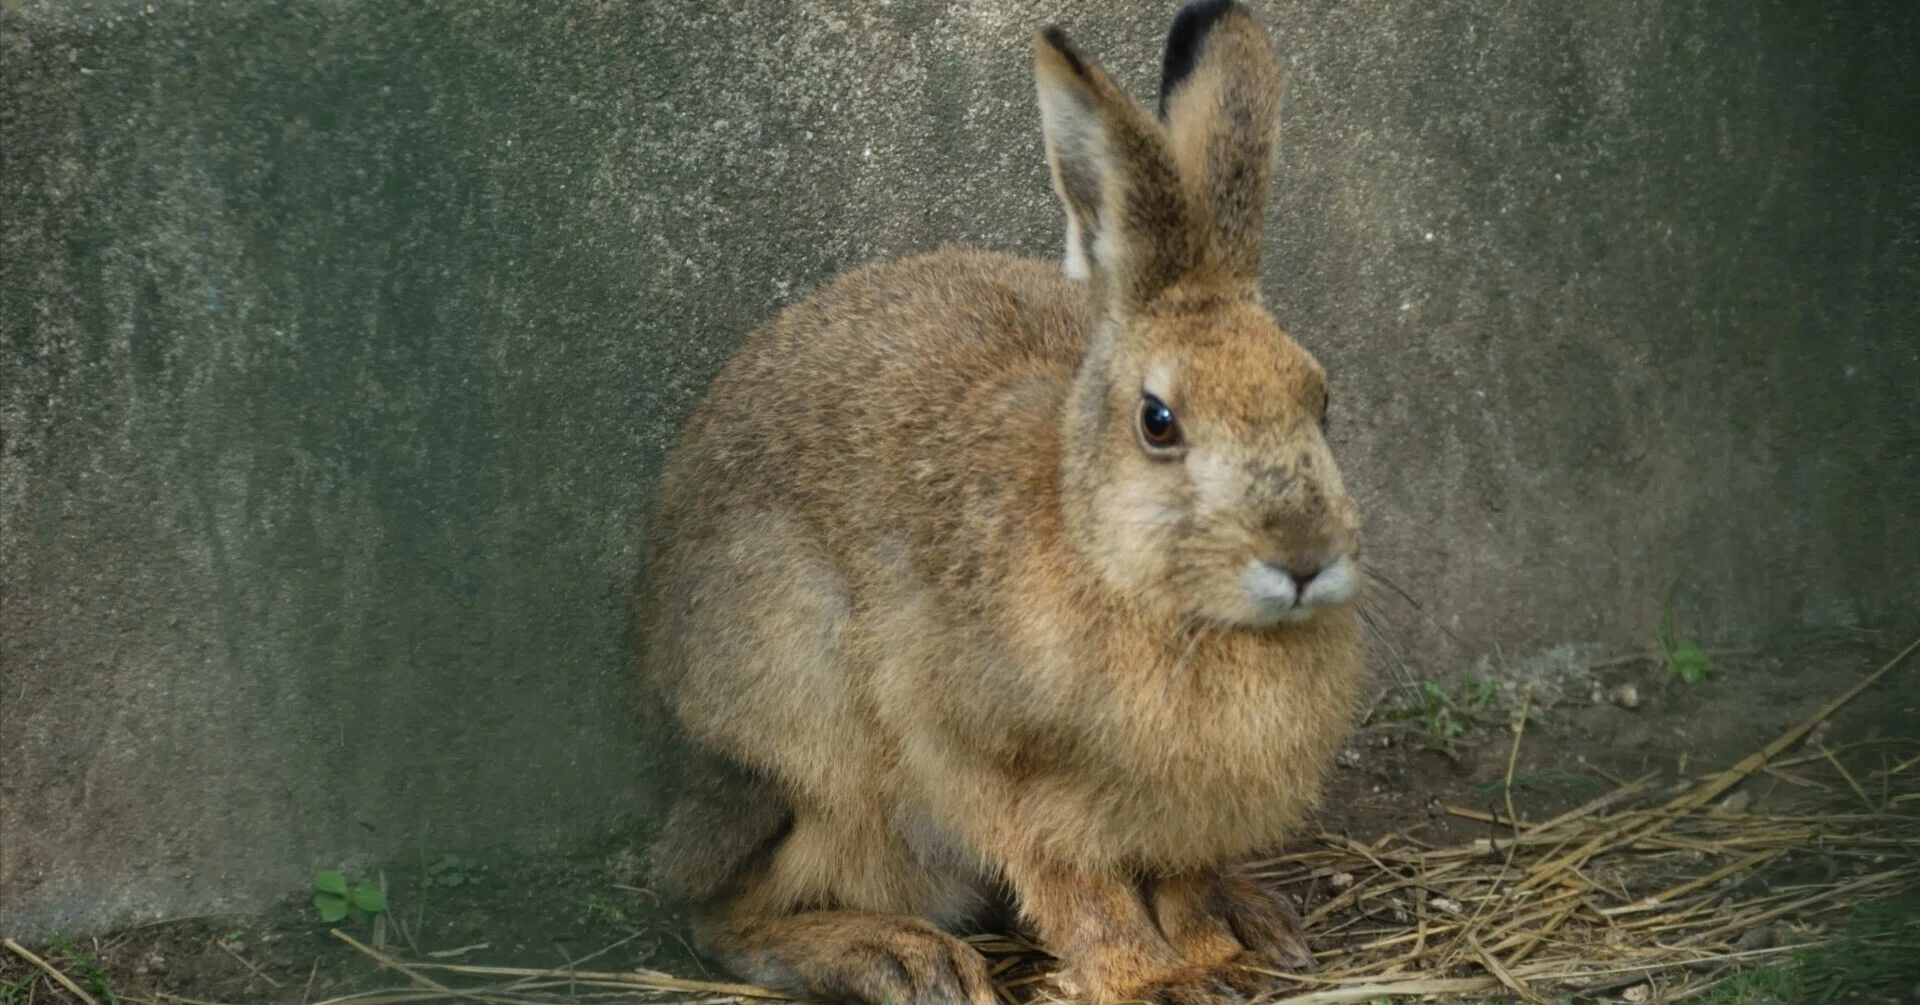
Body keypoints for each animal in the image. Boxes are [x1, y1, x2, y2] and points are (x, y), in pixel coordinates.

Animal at [635, 2, 1366, 1003]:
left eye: (1319, 399)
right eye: (1159, 421)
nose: (1303, 558)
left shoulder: (1181, 812)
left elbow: (1178, 876)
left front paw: (1220, 951)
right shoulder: (999, 772)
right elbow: (1079, 891)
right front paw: (1155, 981)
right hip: (820, 755)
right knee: (725, 911)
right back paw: (901, 958)